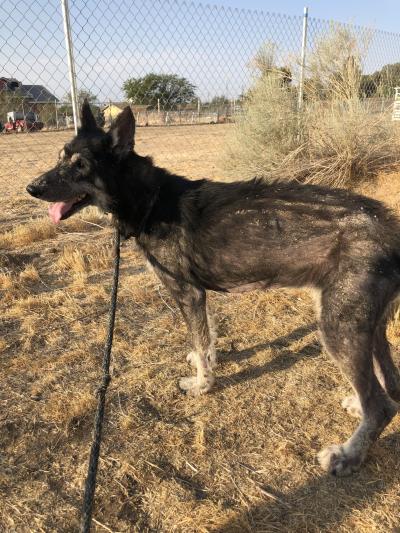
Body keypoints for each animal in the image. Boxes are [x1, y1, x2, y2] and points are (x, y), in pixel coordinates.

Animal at [26, 101, 400, 474]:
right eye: (60, 157)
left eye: (81, 166)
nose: (32, 189)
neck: (150, 200)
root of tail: (390, 230)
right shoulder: (198, 296)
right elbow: (206, 338)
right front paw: (203, 362)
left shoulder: (186, 293)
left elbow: (199, 338)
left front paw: (202, 384)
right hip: (366, 327)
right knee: (390, 387)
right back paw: (358, 408)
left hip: (339, 328)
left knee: (381, 406)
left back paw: (348, 454)